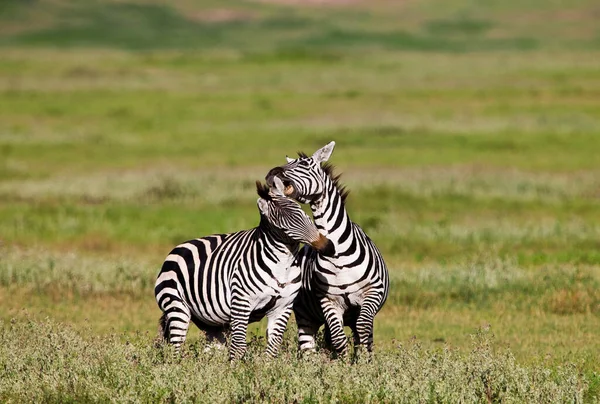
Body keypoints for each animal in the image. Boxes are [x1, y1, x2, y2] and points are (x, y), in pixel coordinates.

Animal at [154, 178, 332, 360]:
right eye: (283, 226)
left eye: (303, 213)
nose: (327, 246)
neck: (283, 265)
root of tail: (177, 249)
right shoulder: (241, 302)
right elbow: (239, 346)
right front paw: (236, 368)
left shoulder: (283, 306)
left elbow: (273, 346)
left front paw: (265, 367)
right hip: (177, 307)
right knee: (175, 348)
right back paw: (177, 366)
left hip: (212, 322)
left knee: (211, 352)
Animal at [266, 142, 390, 360]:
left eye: (305, 164)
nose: (273, 172)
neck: (337, 253)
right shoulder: (329, 301)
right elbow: (339, 339)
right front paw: (343, 366)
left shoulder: (372, 293)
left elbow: (363, 330)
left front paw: (364, 361)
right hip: (305, 315)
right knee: (309, 346)